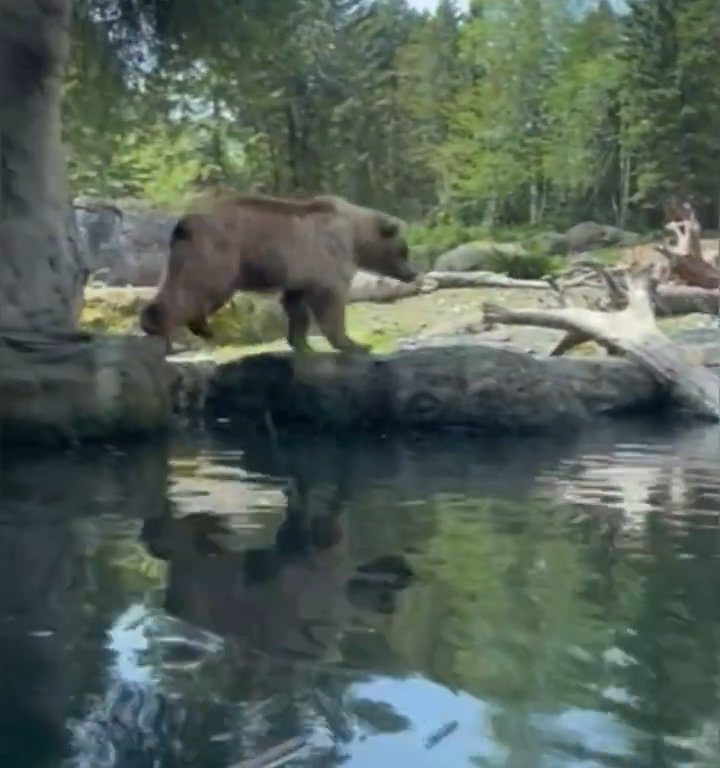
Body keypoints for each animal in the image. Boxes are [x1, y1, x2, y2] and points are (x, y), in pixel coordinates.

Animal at [139, 192, 416, 352]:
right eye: (404, 250)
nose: (413, 273)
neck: (355, 234)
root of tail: (185, 222)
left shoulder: (299, 271)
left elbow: (296, 304)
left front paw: (300, 342)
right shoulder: (328, 256)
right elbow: (330, 298)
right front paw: (355, 344)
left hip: (183, 254)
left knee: (176, 283)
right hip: (219, 254)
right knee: (199, 287)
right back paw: (164, 324)